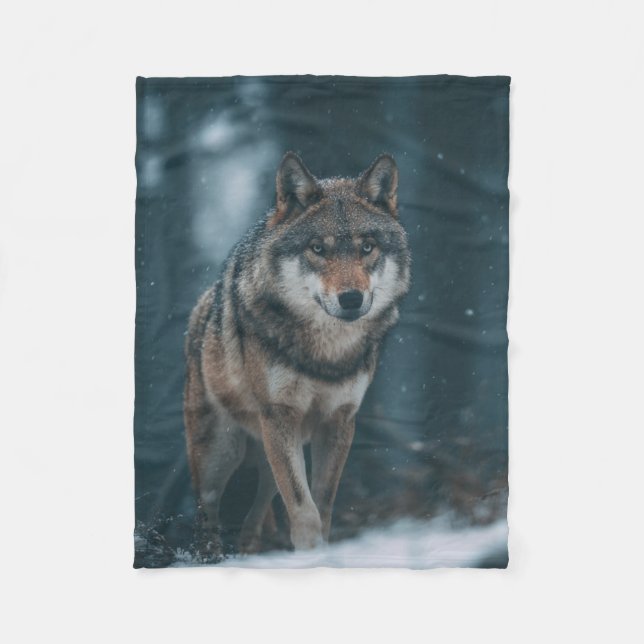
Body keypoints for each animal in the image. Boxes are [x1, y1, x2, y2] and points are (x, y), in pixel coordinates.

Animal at [184, 152, 410, 556]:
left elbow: (322, 502)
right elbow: (303, 508)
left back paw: (251, 548)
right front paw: (310, 554)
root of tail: (201, 308)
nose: (351, 299)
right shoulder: (280, 416)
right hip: (222, 453)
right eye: (318, 248)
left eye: (367, 247)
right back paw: (210, 556)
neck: (327, 354)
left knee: (259, 505)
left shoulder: (339, 420)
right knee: (206, 511)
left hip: (267, 448)